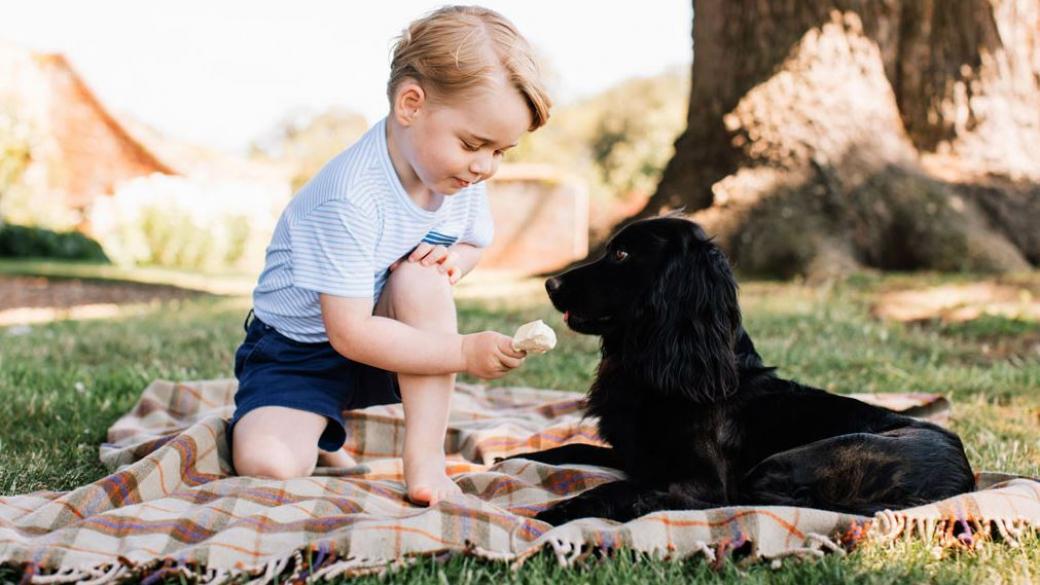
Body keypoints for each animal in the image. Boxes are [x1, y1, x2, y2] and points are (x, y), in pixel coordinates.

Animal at [511, 215, 973, 524]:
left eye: (622, 254)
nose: (550, 284)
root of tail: (961, 481)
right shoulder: (636, 455)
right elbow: (565, 449)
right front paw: (510, 459)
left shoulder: (703, 479)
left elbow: (623, 487)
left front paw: (558, 511)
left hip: (788, 463)